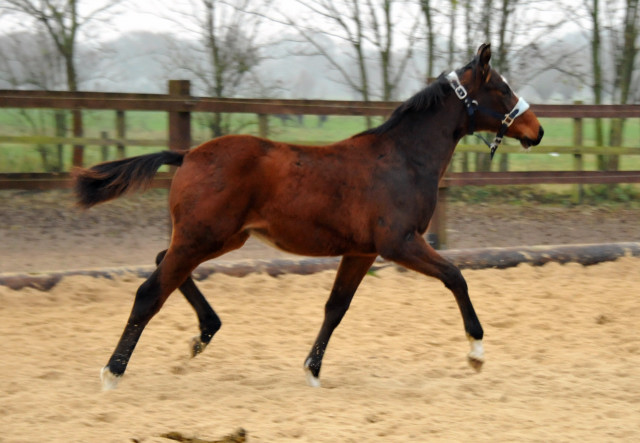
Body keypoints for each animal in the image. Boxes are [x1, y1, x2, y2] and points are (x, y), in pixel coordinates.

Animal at [75, 44, 544, 392]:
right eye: (502, 89)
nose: (537, 131)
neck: (403, 159)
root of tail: (187, 154)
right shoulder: (400, 242)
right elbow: (455, 276)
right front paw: (476, 351)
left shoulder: (362, 252)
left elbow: (336, 307)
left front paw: (312, 370)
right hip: (202, 237)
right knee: (150, 291)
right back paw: (113, 372)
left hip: (220, 238)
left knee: (163, 265)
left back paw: (203, 333)